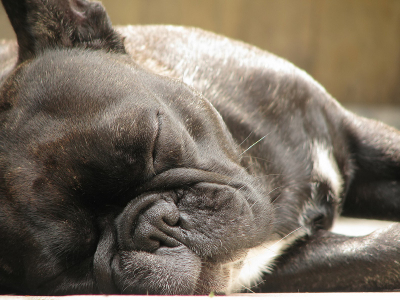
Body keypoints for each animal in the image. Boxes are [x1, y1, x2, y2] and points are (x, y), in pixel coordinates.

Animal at [0, 0, 400, 296]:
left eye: (156, 141)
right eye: (73, 268)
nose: (154, 225)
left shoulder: (355, 130)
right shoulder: (282, 264)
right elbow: (369, 254)